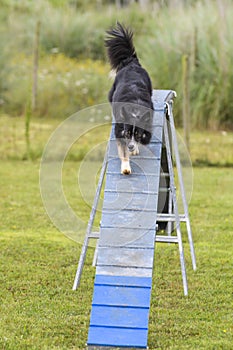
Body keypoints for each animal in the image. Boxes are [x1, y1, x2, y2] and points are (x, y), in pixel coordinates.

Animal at [105, 22, 153, 174]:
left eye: (137, 134)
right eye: (127, 133)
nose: (131, 146)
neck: (134, 111)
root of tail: (131, 63)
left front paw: (135, 149)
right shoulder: (120, 130)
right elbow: (123, 150)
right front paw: (126, 167)